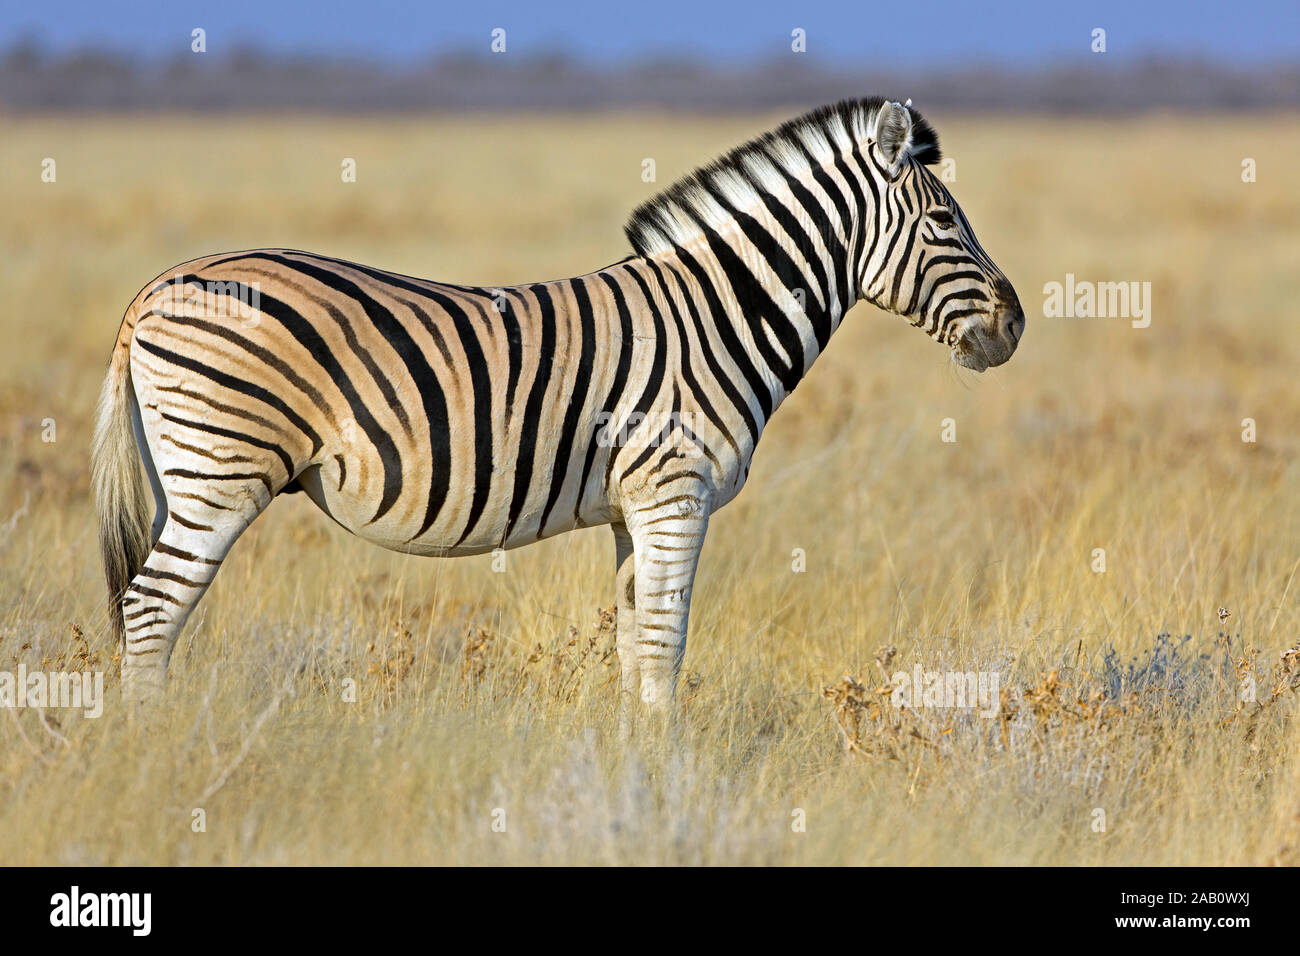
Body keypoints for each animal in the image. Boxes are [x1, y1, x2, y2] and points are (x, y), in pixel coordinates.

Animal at [91, 98, 1024, 712]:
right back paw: (155, 753)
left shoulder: (632, 509)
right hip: (222, 471)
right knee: (150, 610)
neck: (718, 314)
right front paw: (667, 778)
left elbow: (634, 646)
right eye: (945, 221)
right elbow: (666, 646)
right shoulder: (675, 494)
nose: (1015, 324)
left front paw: (634, 766)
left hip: (191, 472)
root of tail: (153, 287)